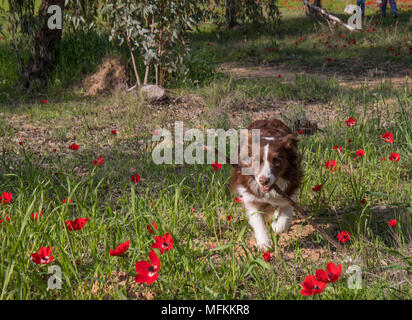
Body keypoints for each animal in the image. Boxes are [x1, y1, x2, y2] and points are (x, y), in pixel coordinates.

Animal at [232, 119, 302, 250]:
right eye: (254, 160)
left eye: (277, 160)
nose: (263, 180)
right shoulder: (250, 198)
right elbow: (258, 221)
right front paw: (264, 245)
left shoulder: (291, 191)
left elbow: (285, 216)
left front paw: (276, 226)